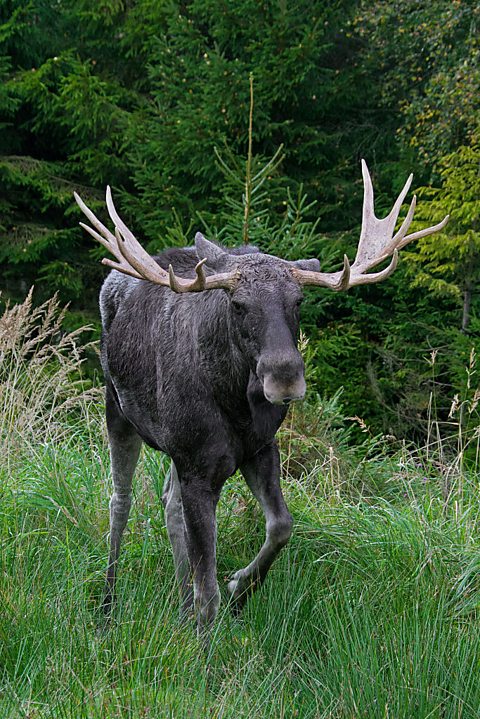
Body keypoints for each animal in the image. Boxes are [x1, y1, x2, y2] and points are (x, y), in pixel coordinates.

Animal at [74, 162, 446, 636]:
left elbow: (280, 527)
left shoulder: (255, 449)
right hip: (118, 410)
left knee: (168, 504)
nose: (284, 375)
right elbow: (208, 586)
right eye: (237, 303)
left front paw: (240, 587)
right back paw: (107, 606)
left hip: (175, 448)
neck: (234, 406)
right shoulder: (197, 465)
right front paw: (206, 639)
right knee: (119, 502)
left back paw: (179, 606)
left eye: (299, 300)